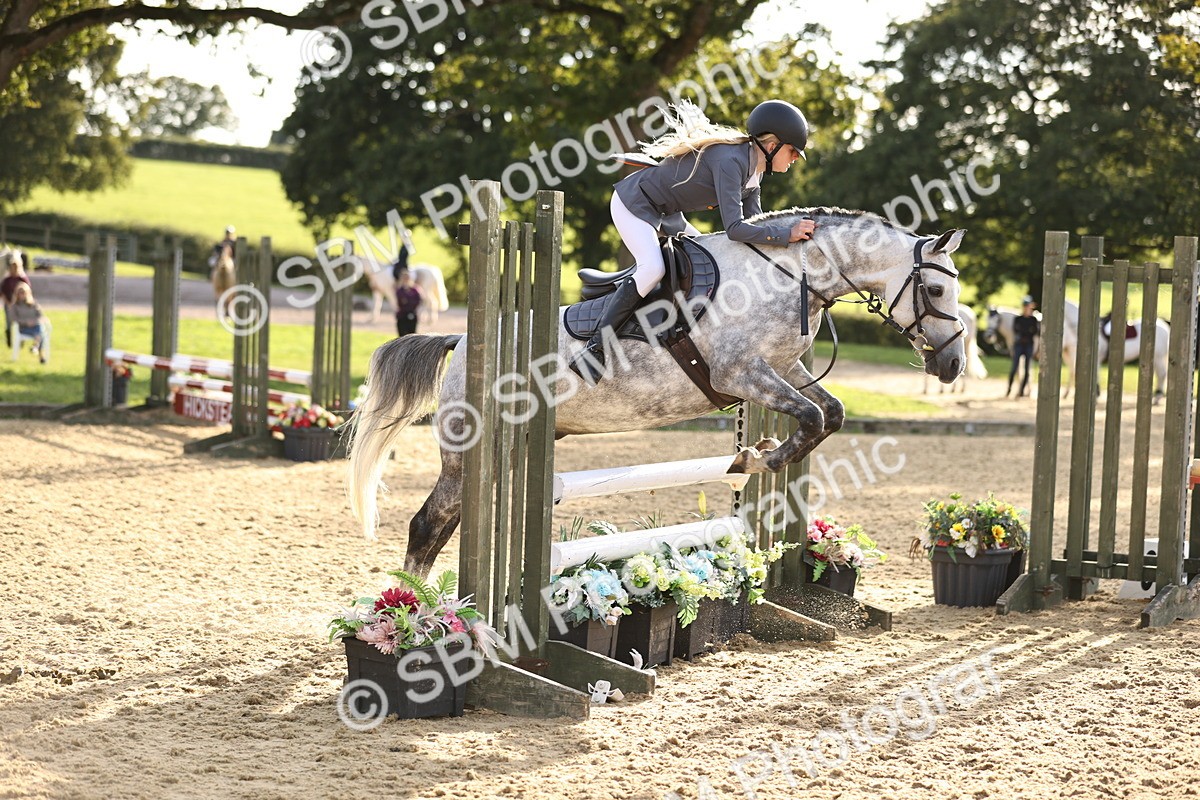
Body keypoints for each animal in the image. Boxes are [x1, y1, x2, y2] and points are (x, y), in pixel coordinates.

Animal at [346, 208, 968, 577]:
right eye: (937, 290)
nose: (954, 365)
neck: (791, 275)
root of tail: (462, 341)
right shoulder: (741, 374)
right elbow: (813, 418)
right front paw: (755, 458)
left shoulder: (781, 370)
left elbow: (830, 413)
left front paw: (757, 454)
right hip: (469, 446)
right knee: (427, 524)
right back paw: (419, 614)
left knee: (447, 522)